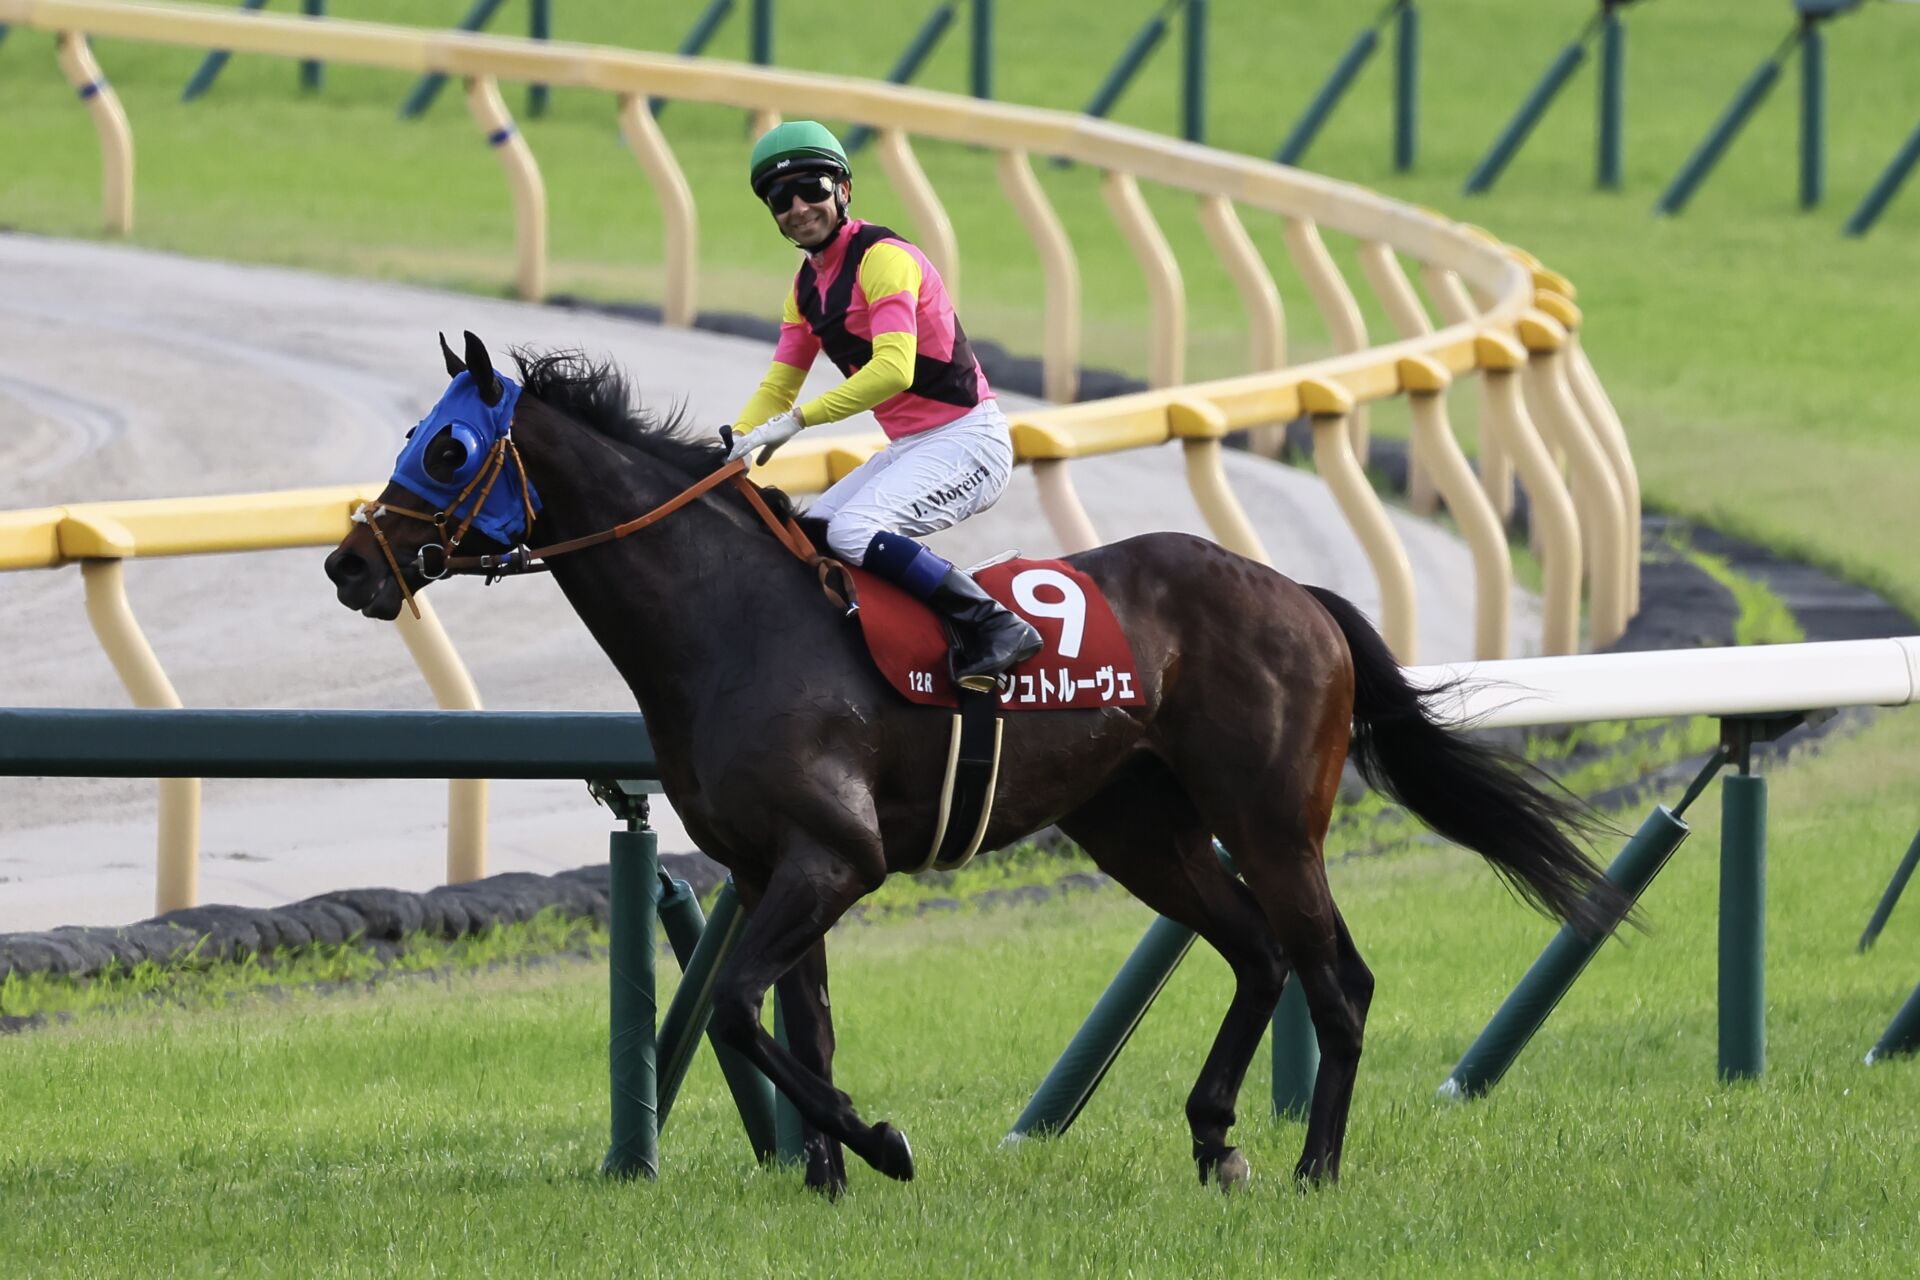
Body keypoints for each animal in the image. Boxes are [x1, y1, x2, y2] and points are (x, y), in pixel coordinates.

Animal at [322, 335, 1612, 1197]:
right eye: (408, 439)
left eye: (447, 445)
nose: (349, 564)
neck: (731, 620)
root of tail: (1301, 593)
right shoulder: (773, 866)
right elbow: (796, 1023)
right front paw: (828, 1179)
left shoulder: (836, 858)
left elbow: (739, 1008)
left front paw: (880, 1145)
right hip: (1137, 825)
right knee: (1255, 951)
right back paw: (1216, 1138)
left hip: (1273, 817)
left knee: (1335, 976)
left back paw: (1315, 1165)